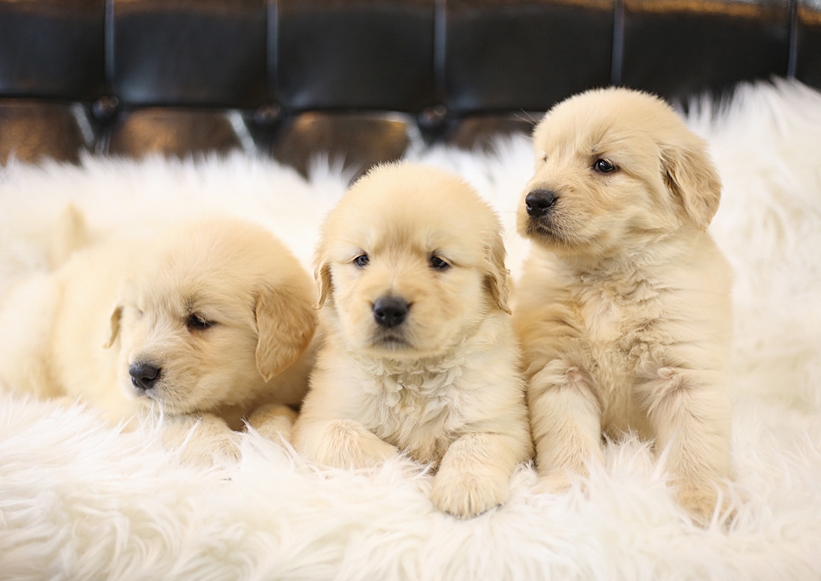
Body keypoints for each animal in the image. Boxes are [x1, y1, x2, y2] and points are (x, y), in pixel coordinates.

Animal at [0, 212, 316, 463]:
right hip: (33, 326)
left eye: (200, 321)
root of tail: (72, 260)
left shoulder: (288, 389)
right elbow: (186, 419)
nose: (139, 374)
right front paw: (224, 451)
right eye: (139, 313)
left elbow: (276, 410)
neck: (233, 396)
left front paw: (268, 443)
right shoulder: (131, 404)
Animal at [291, 162, 533, 519]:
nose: (389, 309)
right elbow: (346, 437)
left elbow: (475, 443)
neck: (410, 373)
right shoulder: (315, 421)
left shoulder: (503, 422)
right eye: (361, 259)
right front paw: (408, 475)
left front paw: (465, 489)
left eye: (438, 261)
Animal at [513, 87, 733, 523]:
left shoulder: (684, 371)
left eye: (603, 165)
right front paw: (565, 491)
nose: (535, 199)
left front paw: (705, 501)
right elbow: (568, 438)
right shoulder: (560, 371)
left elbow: (696, 443)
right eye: (545, 159)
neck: (608, 275)